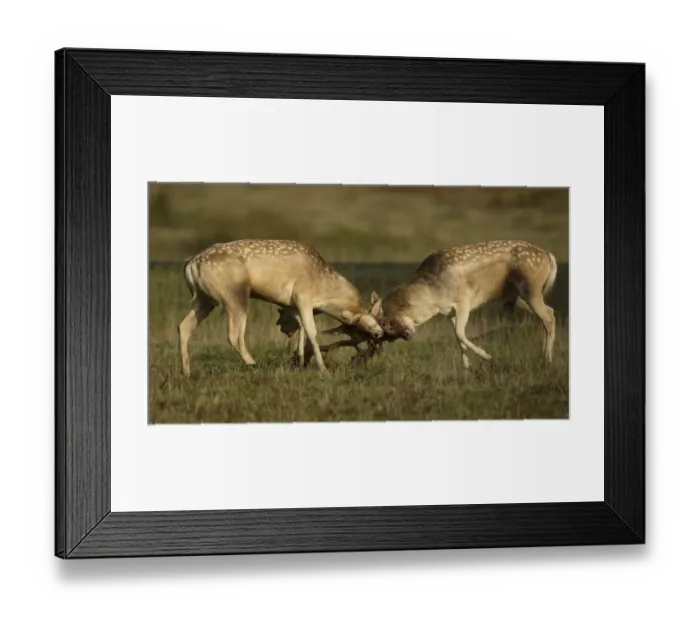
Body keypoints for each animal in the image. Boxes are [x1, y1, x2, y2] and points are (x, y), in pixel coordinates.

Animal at [177, 240, 384, 377]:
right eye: (372, 318)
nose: (380, 333)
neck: (324, 287)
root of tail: (190, 264)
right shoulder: (303, 296)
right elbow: (312, 331)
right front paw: (323, 369)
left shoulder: (291, 305)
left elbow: (300, 326)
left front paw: (299, 360)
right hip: (234, 296)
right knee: (234, 335)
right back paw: (254, 364)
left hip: (204, 300)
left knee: (183, 326)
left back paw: (187, 372)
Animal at [364, 240, 559, 370]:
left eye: (386, 323)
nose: (407, 335)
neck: (434, 298)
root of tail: (549, 257)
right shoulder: (450, 312)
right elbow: (458, 337)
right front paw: (467, 369)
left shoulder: (464, 300)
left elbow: (460, 333)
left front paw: (487, 356)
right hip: (519, 296)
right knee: (549, 312)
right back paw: (542, 356)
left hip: (531, 290)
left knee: (548, 317)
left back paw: (548, 360)